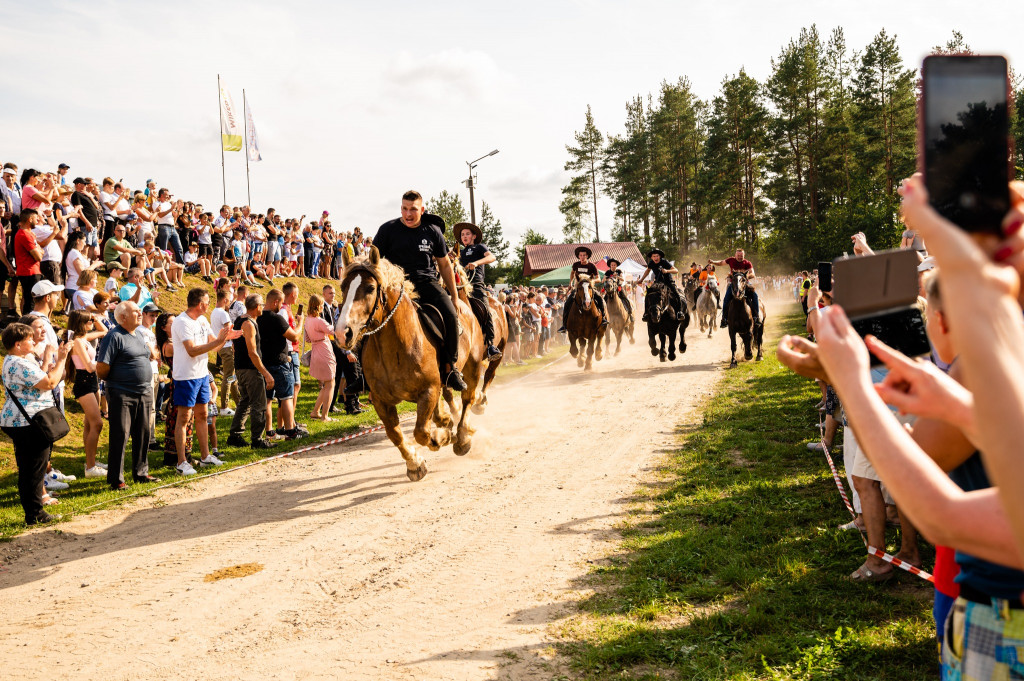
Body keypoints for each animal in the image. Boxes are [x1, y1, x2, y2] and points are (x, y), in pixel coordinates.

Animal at [331, 246, 483, 481]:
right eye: (343, 287)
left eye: (370, 288)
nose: (342, 333)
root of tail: (465, 306)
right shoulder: (381, 400)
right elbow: (395, 434)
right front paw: (415, 463)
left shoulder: (429, 390)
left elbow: (421, 432)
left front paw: (441, 438)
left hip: (472, 368)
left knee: (467, 400)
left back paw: (462, 437)